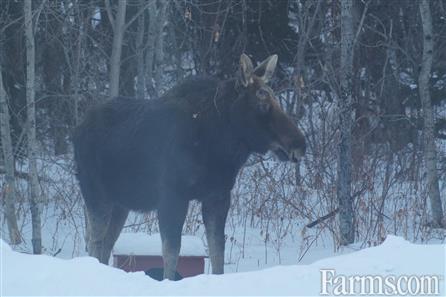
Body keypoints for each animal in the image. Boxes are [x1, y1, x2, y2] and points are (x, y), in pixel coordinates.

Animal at [75, 54, 306, 278]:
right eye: (262, 102)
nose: (299, 144)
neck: (221, 147)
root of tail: (79, 127)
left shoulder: (218, 195)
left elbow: (217, 251)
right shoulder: (172, 196)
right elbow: (171, 252)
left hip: (121, 203)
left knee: (105, 243)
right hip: (95, 193)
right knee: (94, 241)